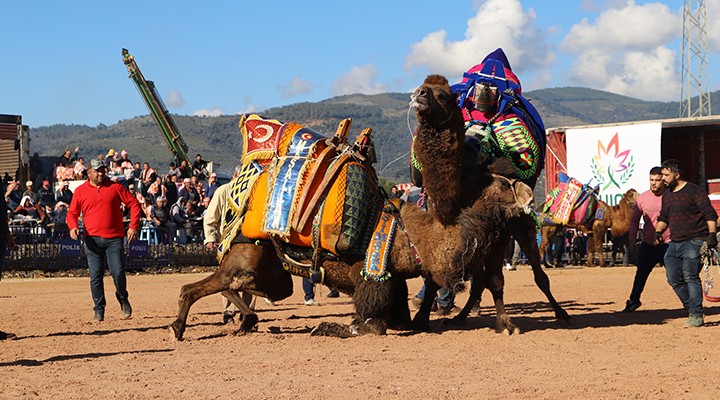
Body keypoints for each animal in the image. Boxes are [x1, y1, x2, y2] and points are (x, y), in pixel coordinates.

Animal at [169, 121, 532, 338]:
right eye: (503, 183)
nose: (529, 196)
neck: (413, 239)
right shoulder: (369, 277)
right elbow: (371, 326)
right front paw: (331, 327)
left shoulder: (393, 279)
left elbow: (396, 316)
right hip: (245, 257)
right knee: (199, 286)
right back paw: (179, 326)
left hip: (273, 271)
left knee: (246, 287)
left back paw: (245, 321)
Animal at [410, 73, 568, 332]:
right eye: (422, 87)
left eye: (443, 95)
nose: (419, 94)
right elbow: (435, 277)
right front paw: (421, 319)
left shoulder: (497, 233)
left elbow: (496, 281)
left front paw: (505, 323)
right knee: (478, 283)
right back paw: (459, 317)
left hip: (522, 229)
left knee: (538, 274)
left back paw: (562, 313)